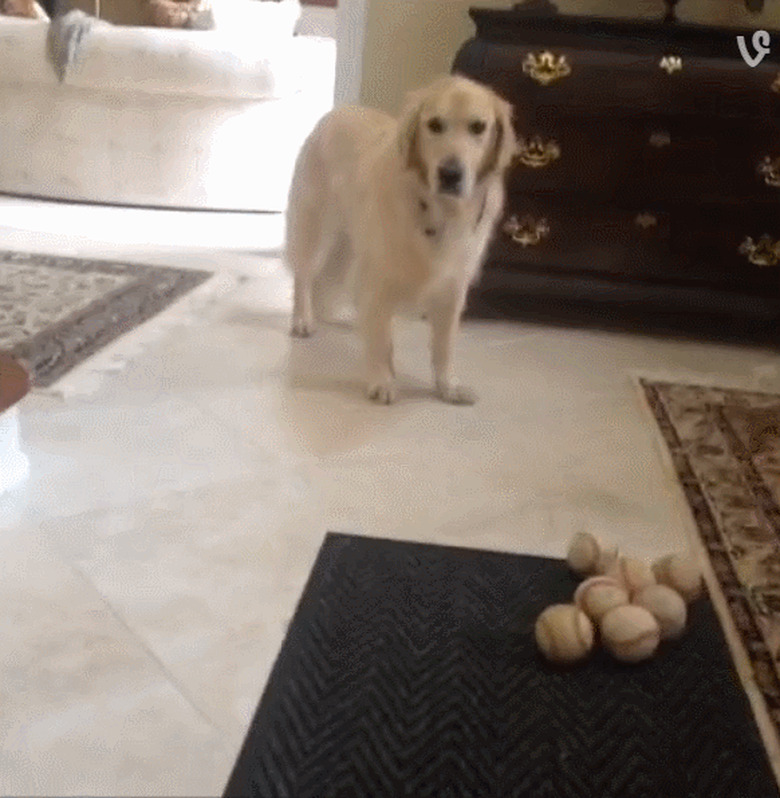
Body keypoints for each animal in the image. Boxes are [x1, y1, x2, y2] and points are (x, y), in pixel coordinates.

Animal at [286, 75, 516, 406]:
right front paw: (382, 380)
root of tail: (335, 112)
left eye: (478, 127)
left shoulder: (452, 286)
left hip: (350, 244)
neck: (438, 209)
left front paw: (448, 385)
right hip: (317, 228)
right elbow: (382, 339)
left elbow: (444, 345)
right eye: (434, 124)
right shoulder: (380, 276)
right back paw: (303, 319)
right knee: (304, 276)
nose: (450, 174)